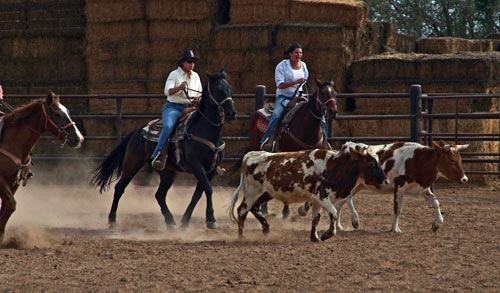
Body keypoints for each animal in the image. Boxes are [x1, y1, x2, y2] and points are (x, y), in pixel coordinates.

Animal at [0, 90, 83, 241]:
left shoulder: (14, 183)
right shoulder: (1, 180)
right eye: (57, 114)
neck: (10, 142)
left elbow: (7, 207)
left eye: (67, 111)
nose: (78, 138)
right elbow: (11, 205)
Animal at [90, 70, 236, 228]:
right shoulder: (197, 165)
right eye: (217, 89)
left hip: (167, 172)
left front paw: (185, 221)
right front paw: (211, 219)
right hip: (132, 164)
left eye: (229, 88)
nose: (232, 113)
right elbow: (208, 189)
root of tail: (137, 131)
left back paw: (170, 221)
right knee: (119, 188)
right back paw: (112, 220)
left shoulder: (211, 169)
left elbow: (198, 194)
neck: (205, 130)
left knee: (159, 195)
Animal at [229, 144, 388, 242]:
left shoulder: (317, 200)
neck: (334, 166)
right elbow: (333, 213)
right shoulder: (322, 196)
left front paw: (315, 237)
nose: (386, 180)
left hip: (265, 194)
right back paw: (241, 235)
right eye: (371, 164)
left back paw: (266, 228)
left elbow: (316, 218)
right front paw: (327, 235)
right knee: (242, 210)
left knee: (254, 208)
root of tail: (251, 155)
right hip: (252, 192)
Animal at [247, 78, 338, 216]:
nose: (333, 112)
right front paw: (287, 211)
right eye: (322, 93)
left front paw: (304, 208)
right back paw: (263, 208)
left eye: (335, 93)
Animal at [324, 140, 468, 232]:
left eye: (460, 160)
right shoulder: (399, 187)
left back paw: (339, 225)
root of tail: (346, 146)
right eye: (451, 160)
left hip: (359, 185)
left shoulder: (423, 188)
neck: (417, 160)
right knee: (346, 199)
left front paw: (437, 224)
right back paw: (354, 220)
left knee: (341, 202)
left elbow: (435, 203)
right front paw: (395, 228)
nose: (464, 179)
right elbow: (397, 209)